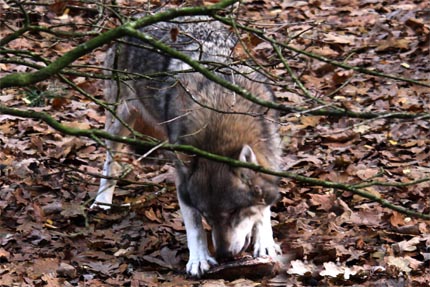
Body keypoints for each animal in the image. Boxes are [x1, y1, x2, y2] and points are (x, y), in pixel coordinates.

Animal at [91, 12, 282, 278]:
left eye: (234, 212)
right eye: (206, 215)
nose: (224, 255)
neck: (220, 114)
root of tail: (134, 20)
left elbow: (263, 209)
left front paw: (265, 242)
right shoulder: (182, 178)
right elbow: (193, 226)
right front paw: (198, 259)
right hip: (119, 122)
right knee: (111, 163)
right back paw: (102, 200)